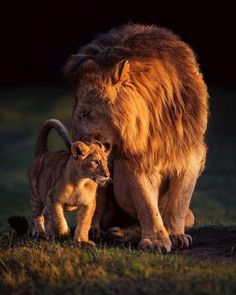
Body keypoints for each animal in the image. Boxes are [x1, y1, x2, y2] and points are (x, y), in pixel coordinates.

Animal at [64, 23, 208, 254]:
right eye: (76, 112)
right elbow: (147, 205)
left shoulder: (190, 155)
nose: (75, 148)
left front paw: (175, 235)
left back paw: (122, 234)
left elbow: (179, 202)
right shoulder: (136, 161)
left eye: (85, 114)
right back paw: (99, 231)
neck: (156, 117)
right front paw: (156, 241)